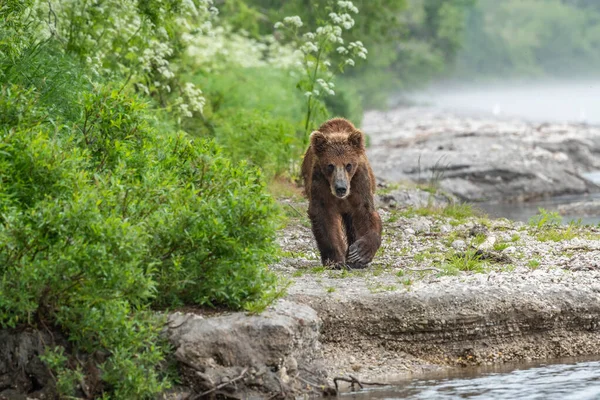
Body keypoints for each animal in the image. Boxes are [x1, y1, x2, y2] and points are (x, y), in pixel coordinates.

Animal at [302, 119, 382, 268]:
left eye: (348, 165)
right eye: (330, 165)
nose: (341, 188)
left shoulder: (359, 183)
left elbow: (366, 213)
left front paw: (360, 253)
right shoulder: (320, 184)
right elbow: (324, 218)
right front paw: (335, 260)